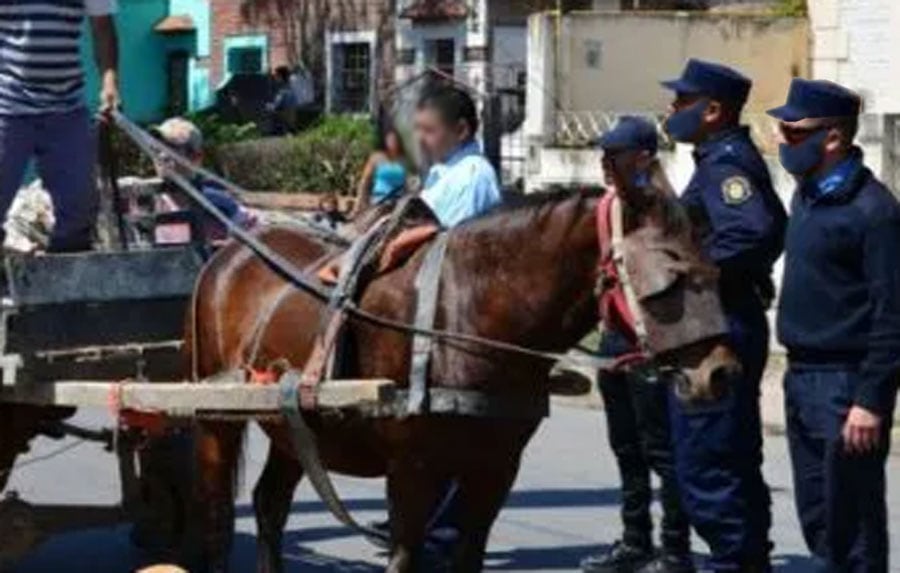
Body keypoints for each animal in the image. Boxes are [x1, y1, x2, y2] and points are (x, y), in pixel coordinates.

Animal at [190, 190, 740, 568]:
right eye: (668, 282)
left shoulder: (495, 470)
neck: (469, 315)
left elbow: (469, 554)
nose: (721, 373)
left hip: (291, 423)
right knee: (217, 517)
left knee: (269, 506)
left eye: (716, 271)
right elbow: (404, 557)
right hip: (217, 417)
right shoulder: (413, 471)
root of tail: (230, 251)